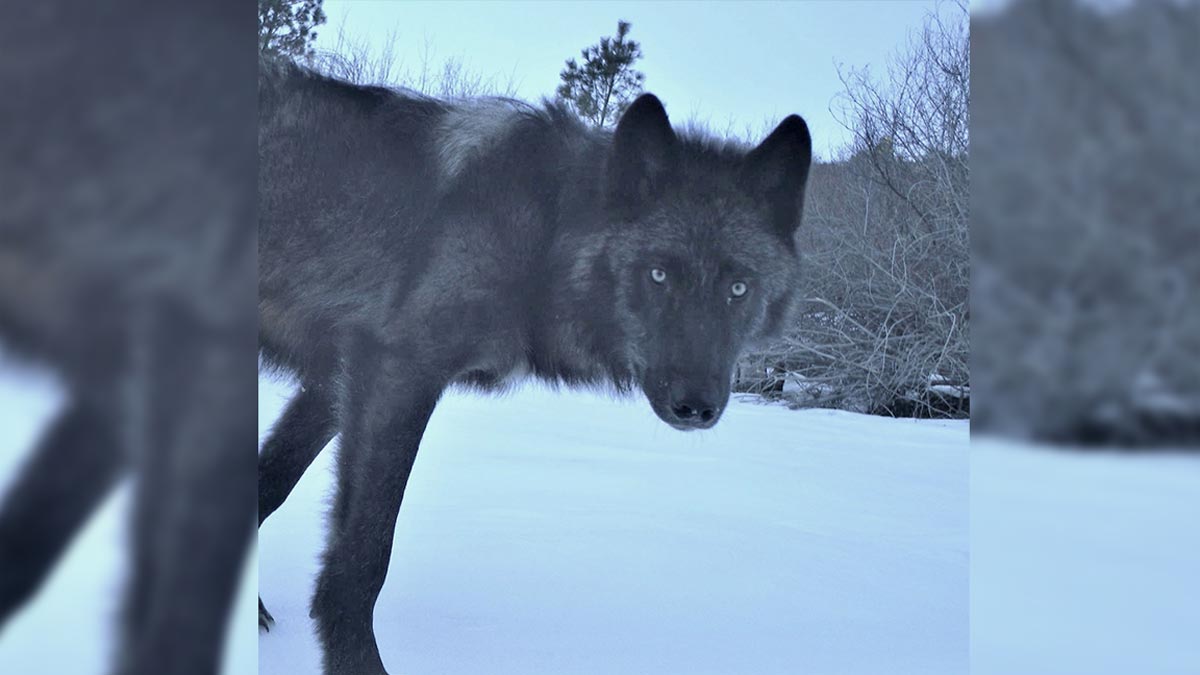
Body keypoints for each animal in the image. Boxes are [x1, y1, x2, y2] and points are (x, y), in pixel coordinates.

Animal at [257, 59, 812, 674]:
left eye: (739, 287)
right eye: (658, 275)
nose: (695, 404)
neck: (544, 233)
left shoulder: (337, 378)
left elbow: (268, 483)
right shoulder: (397, 373)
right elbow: (363, 558)